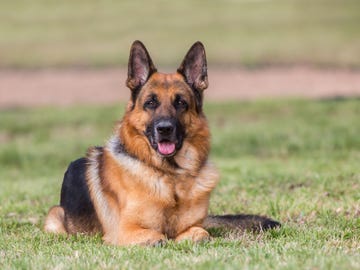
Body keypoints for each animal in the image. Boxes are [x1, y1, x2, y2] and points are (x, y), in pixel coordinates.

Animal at [44, 41, 282, 246]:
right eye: (150, 102)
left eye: (181, 103)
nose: (165, 129)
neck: (171, 175)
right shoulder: (124, 231)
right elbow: (157, 236)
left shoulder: (195, 226)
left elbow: (201, 233)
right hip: (54, 220)